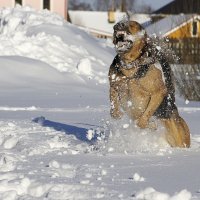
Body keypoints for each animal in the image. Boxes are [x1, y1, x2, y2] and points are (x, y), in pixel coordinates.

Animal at [109, 20, 191, 148]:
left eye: (132, 25)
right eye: (118, 24)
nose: (116, 26)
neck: (131, 64)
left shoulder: (158, 92)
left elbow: (145, 116)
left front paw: (148, 124)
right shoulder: (113, 85)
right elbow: (113, 103)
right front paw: (116, 113)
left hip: (179, 137)